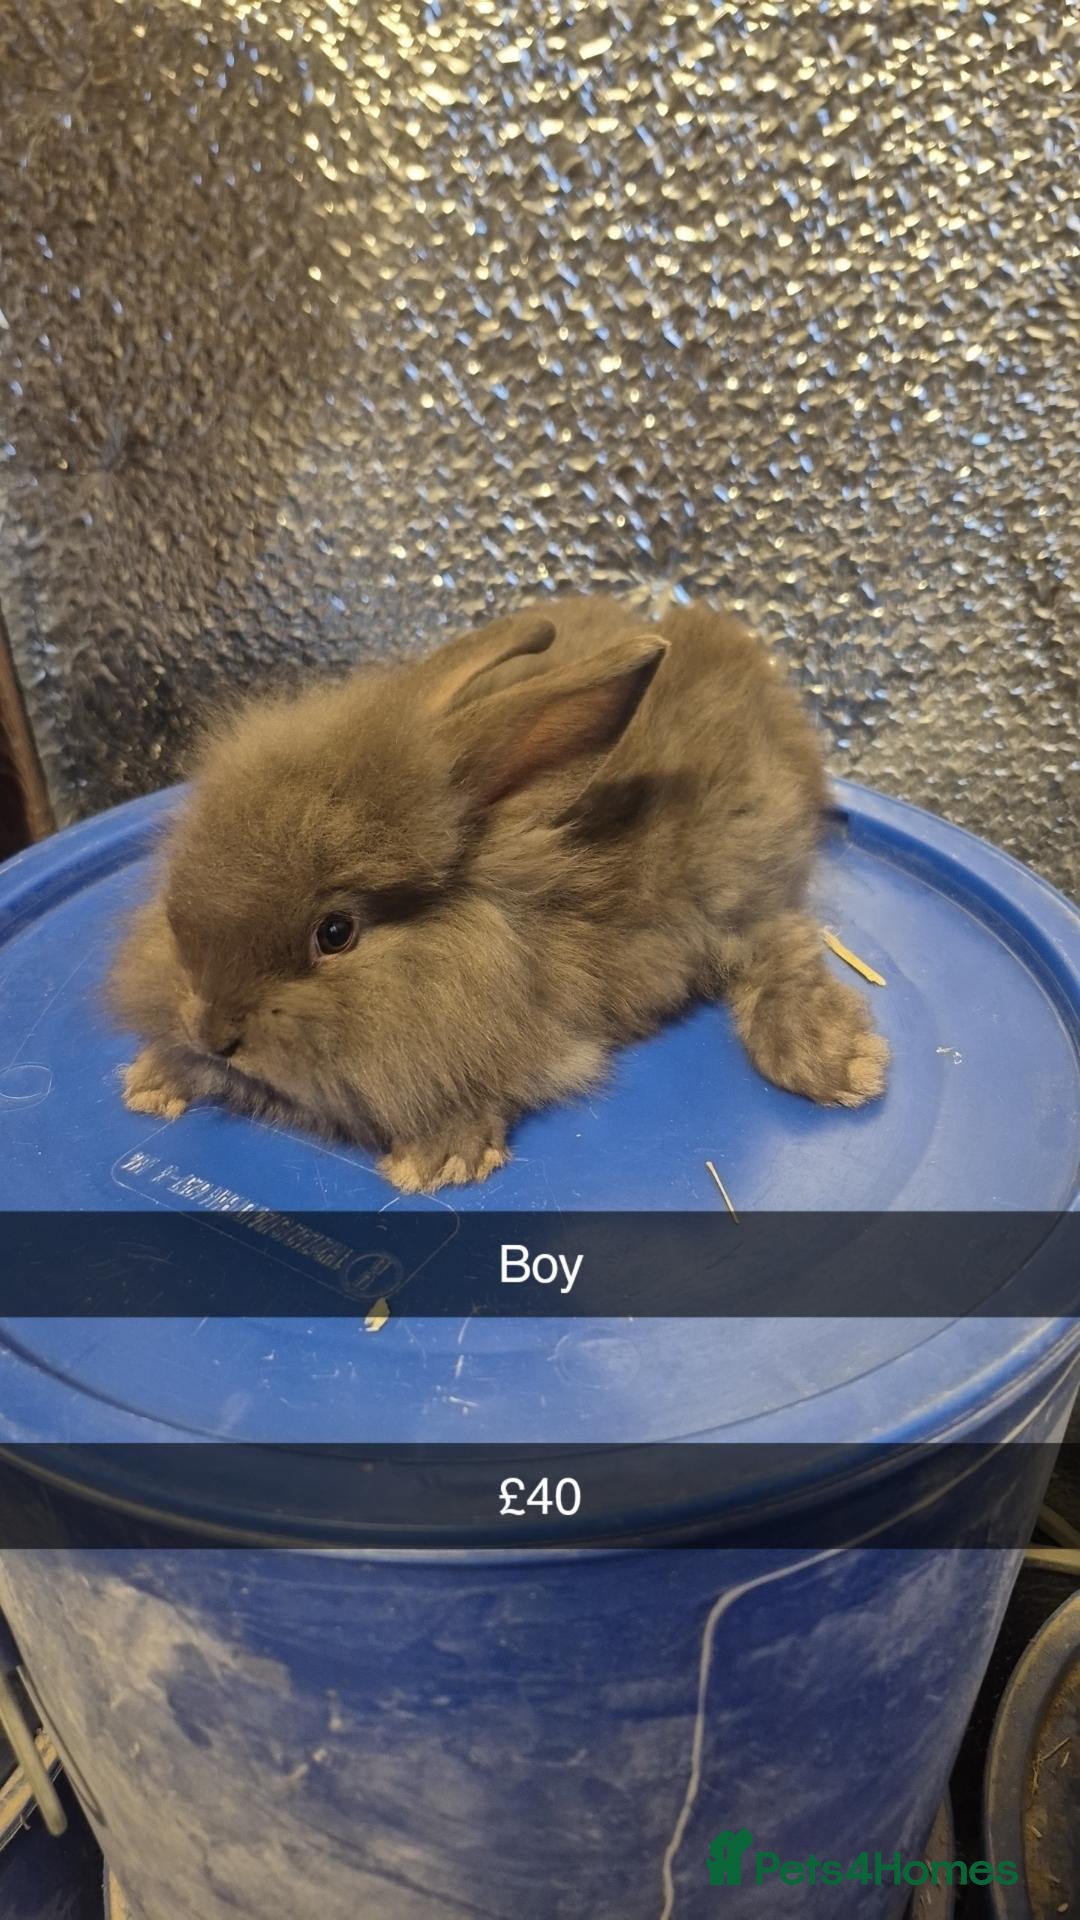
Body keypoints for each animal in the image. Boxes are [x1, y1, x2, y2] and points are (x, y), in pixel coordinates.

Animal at [109, 595, 889, 1192]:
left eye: (335, 932)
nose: (213, 1034)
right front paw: (151, 1080)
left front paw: (437, 1160)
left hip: (740, 875)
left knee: (784, 940)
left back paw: (836, 1063)